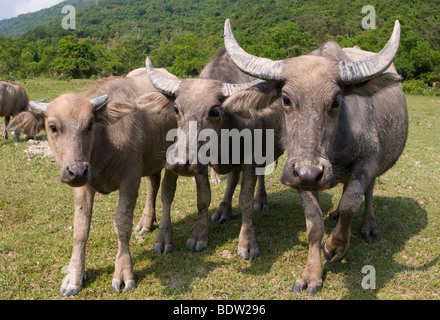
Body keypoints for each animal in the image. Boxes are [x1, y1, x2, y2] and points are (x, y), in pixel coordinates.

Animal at [7, 71, 179, 296]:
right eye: (52, 127)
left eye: (90, 125)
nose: (77, 170)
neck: (105, 146)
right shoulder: (83, 186)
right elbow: (80, 229)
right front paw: (74, 277)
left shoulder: (130, 180)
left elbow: (122, 224)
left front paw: (123, 273)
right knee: (153, 184)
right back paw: (145, 223)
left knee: (167, 193)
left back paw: (164, 238)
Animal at [143, 54, 284, 260]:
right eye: (176, 109)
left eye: (214, 111)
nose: (180, 163)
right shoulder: (201, 165)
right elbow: (203, 199)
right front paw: (199, 236)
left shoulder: (250, 159)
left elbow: (245, 200)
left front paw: (247, 243)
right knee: (232, 178)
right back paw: (223, 210)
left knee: (260, 176)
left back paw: (261, 200)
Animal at [227, 18, 410, 294]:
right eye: (286, 99)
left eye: (335, 102)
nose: (309, 173)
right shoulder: (297, 173)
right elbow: (314, 224)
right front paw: (311, 274)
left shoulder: (367, 161)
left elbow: (351, 203)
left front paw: (335, 246)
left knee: (367, 193)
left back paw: (369, 227)